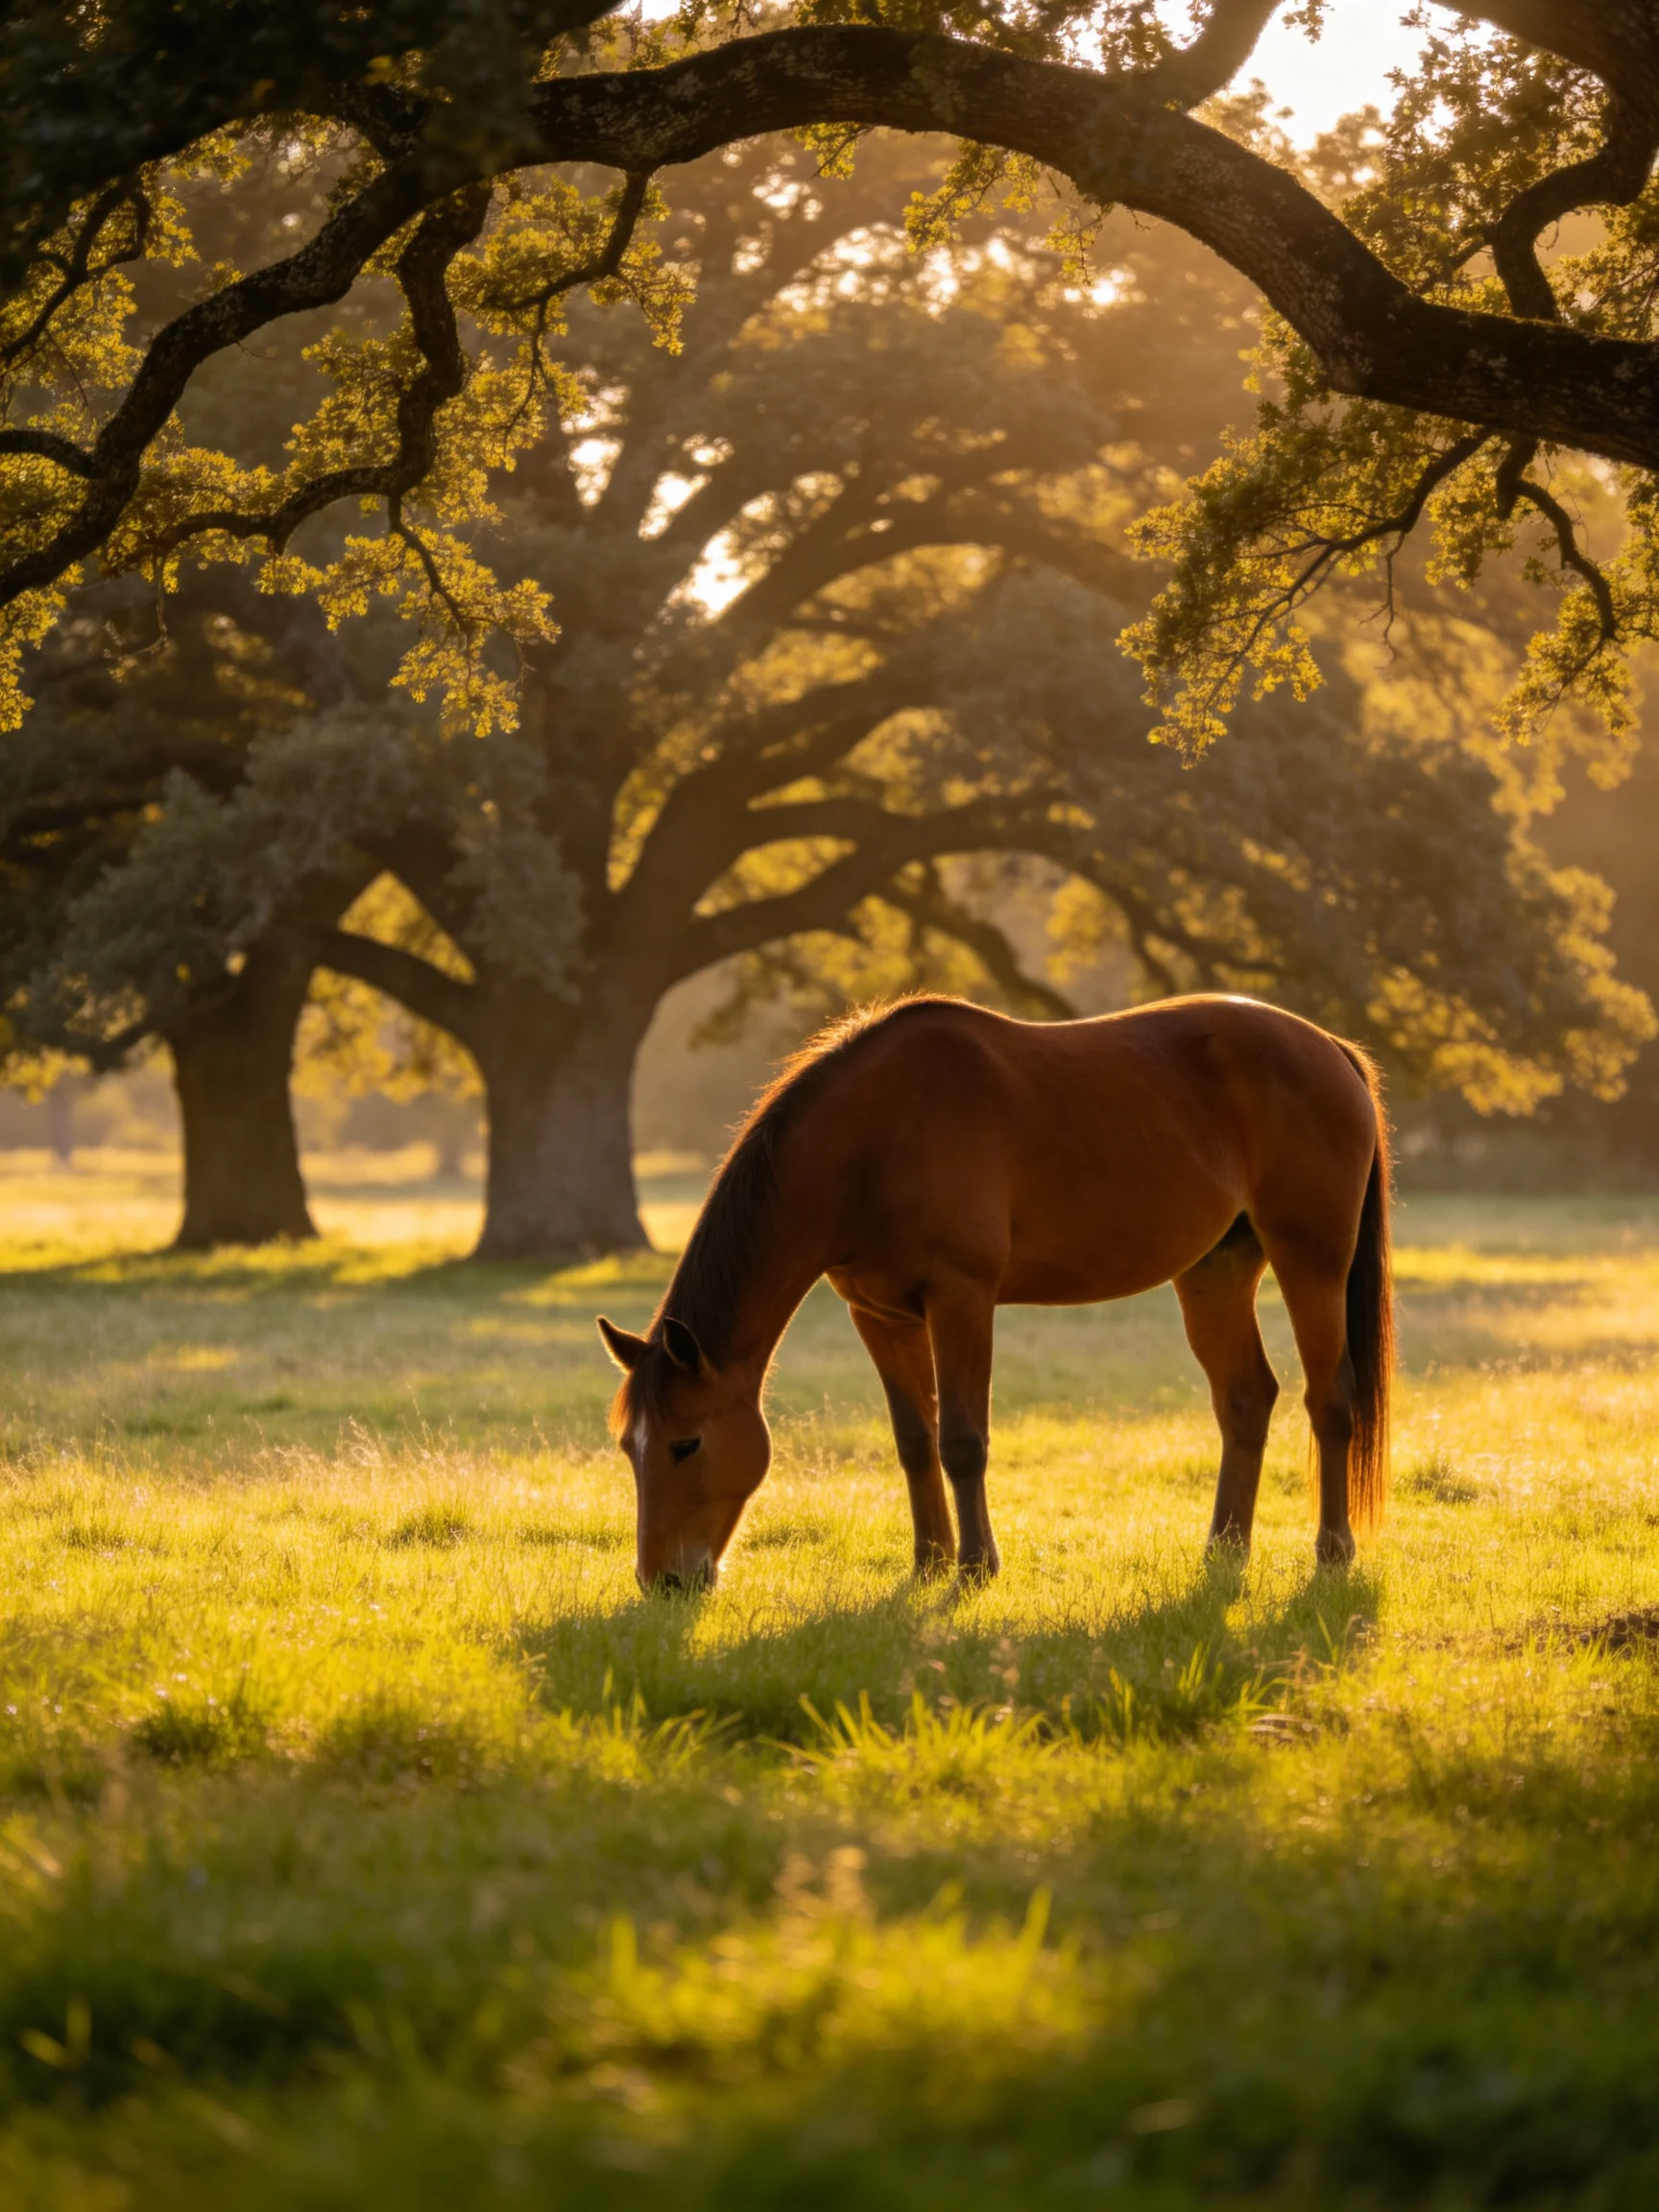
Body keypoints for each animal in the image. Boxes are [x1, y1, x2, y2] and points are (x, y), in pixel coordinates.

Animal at [598, 993, 1392, 1591]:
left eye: (686, 1443)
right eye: (629, 1448)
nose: (663, 1582)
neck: (876, 1136)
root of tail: (1330, 1048)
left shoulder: (961, 1299)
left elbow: (962, 1440)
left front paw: (976, 1568)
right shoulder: (878, 1315)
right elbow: (914, 1440)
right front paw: (928, 1563)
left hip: (1311, 1260)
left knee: (1330, 1401)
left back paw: (1333, 1552)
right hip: (1215, 1271)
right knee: (1245, 1399)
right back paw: (1223, 1551)